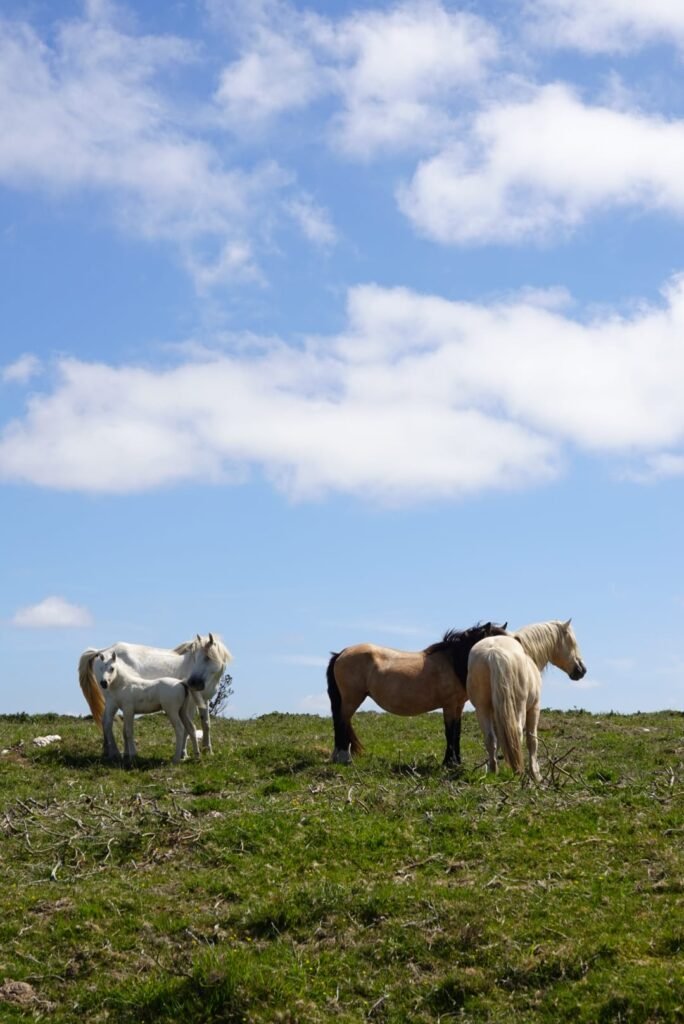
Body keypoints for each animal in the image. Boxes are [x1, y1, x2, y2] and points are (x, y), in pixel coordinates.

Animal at [78, 633, 231, 756]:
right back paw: (115, 752)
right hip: (111, 701)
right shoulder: (191, 703)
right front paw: (184, 753)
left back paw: (109, 751)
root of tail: (101, 651)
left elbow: (206, 724)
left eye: (207, 657)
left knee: (106, 722)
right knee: (107, 722)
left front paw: (208, 750)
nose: (193, 682)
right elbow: (188, 728)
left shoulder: (204, 700)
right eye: (196, 657)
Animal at [326, 622, 509, 765]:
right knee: (341, 721)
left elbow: (457, 732)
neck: (453, 662)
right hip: (351, 699)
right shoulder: (449, 706)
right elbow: (449, 732)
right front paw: (448, 763)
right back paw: (344, 758)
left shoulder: (458, 706)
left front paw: (457, 762)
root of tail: (341, 653)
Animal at [467, 619, 587, 780]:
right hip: (519, 707)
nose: (581, 670)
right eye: (572, 642)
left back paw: (493, 771)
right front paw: (536, 774)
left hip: (482, 708)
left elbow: (498, 739)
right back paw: (518, 771)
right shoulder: (534, 707)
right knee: (517, 734)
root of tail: (494, 653)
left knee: (490, 738)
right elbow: (532, 740)